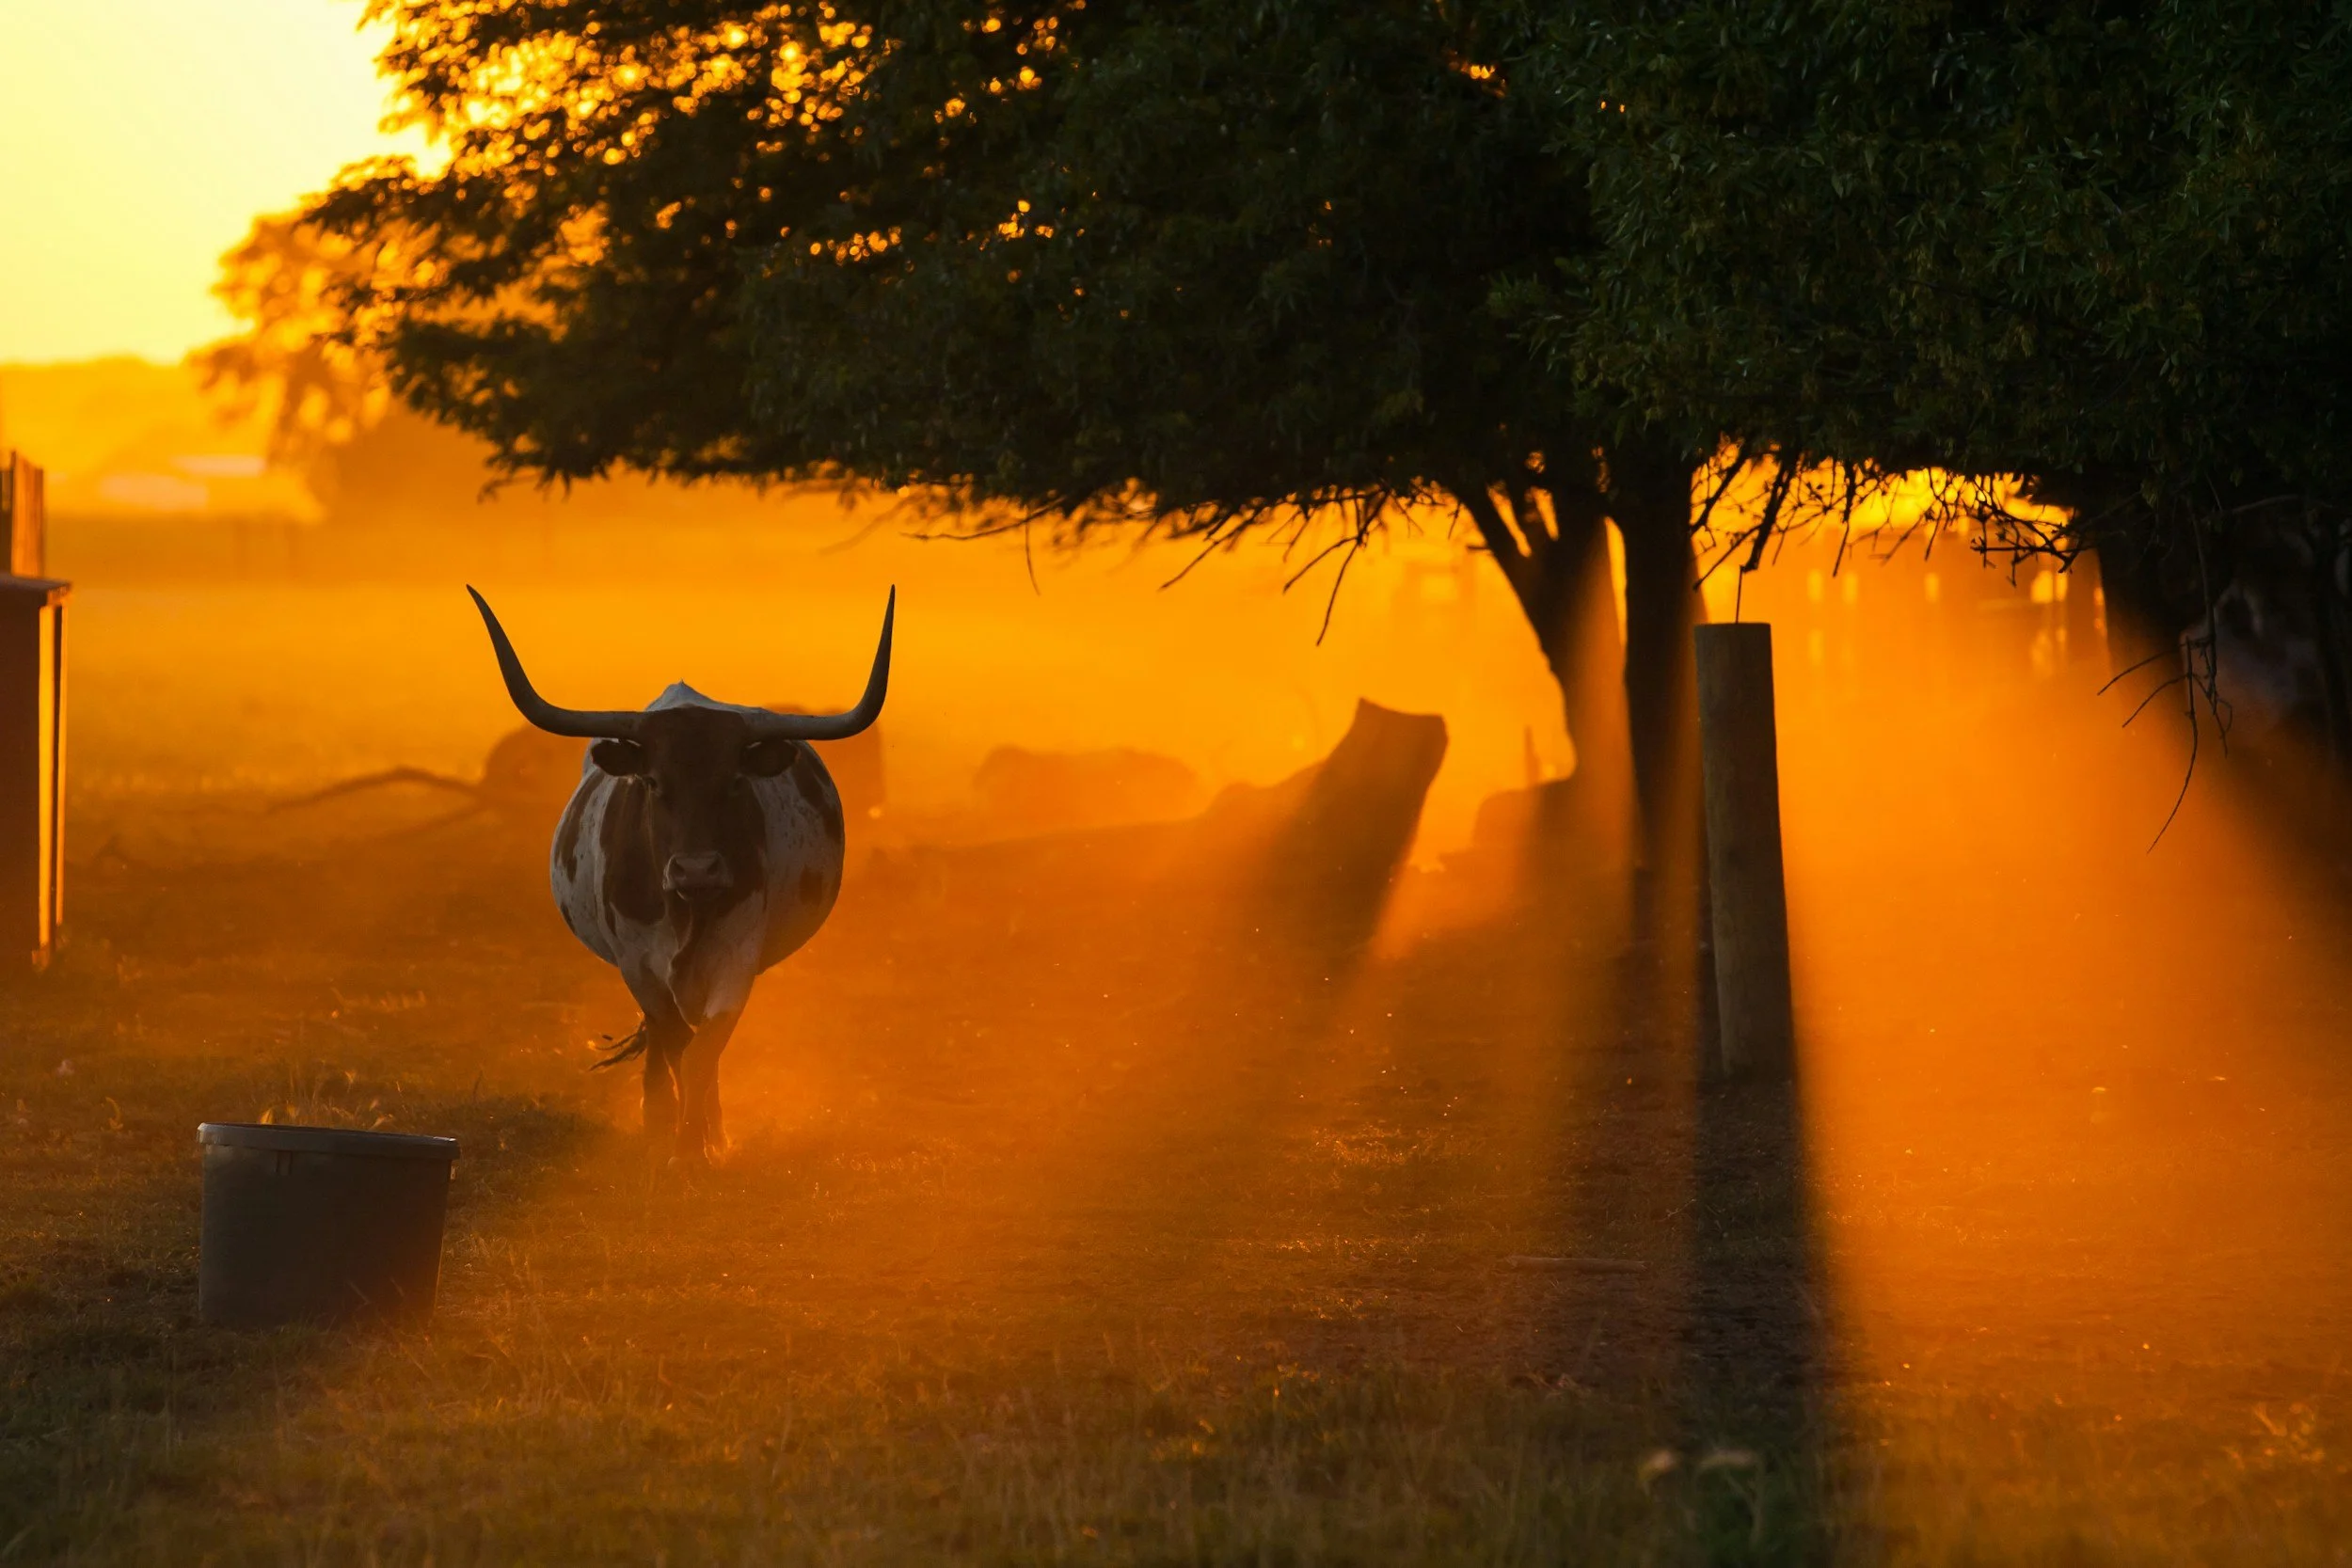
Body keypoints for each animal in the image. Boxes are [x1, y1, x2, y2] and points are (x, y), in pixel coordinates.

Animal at [466, 586, 894, 1160]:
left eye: (734, 782)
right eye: (652, 781)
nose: (696, 869)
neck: (688, 908)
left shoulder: (737, 960)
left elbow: (703, 1052)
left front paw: (701, 1143)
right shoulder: (638, 964)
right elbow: (674, 1044)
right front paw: (678, 1136)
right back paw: (658, 1118)